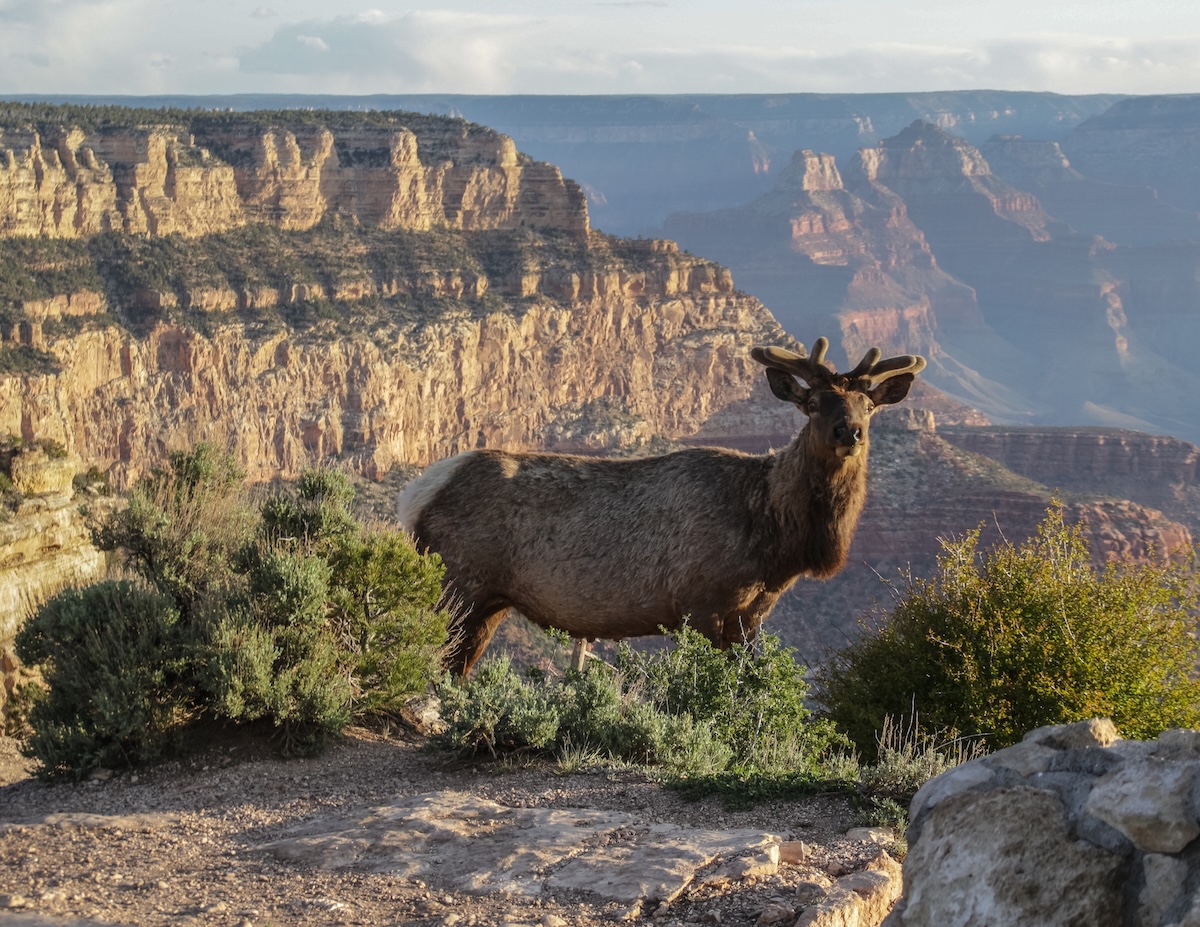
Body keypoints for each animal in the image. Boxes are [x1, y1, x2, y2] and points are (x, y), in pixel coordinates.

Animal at [397, 337, 927, 675]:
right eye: (813, 403)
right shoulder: (701, 602)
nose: (849, 432)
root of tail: (415, 493)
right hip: (457, 584)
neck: (777, 539)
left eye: (868, 405)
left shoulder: (752, 615)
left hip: (489, 603)